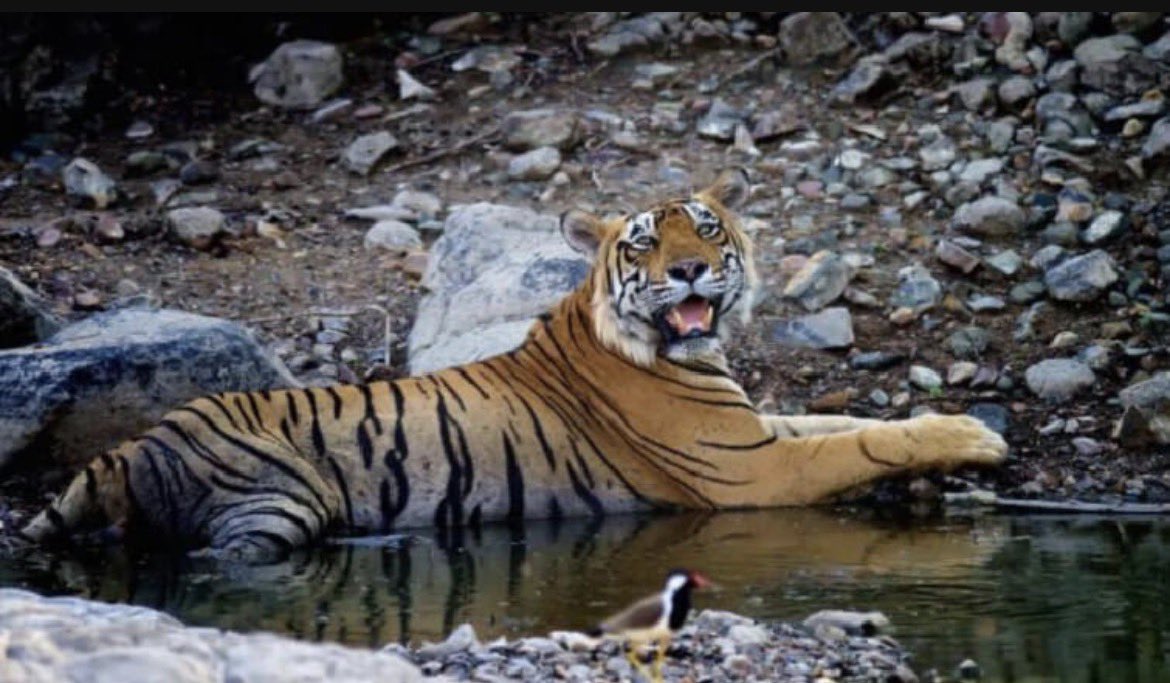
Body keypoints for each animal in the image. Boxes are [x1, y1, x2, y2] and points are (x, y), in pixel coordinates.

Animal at [21, 169, 1007, 562]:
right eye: (646, 243)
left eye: (707, 227)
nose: (691, 269)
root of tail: (127, 447)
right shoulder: (750, 469)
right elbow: (866, 441)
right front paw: (976, 435)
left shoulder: (756, 431)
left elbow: (853, 422)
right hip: (272, 501)